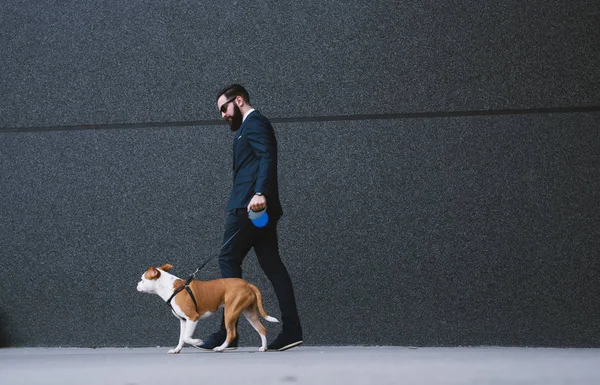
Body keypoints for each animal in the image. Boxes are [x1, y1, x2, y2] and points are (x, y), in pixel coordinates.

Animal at [137, 264, 278, 354]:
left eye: (142, 279)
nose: (137, 284)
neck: (171, 288)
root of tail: (247, 284)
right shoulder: (183, 321)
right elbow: (181, 338)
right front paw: (177, 349)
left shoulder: (193, 318)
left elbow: (187, 337)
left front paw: (198, 342)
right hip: (249, 313)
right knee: (262, 329)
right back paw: (264, 347)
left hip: (230, 313)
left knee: (231, 334)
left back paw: (220, 348)